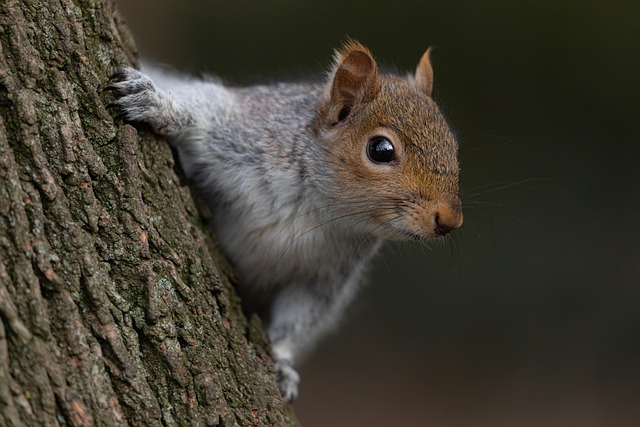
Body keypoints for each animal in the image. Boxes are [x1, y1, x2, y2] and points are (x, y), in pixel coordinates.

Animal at [107, 40, 463, 402]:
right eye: (381, 149)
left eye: (453, 146)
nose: (450, 220)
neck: (318, 207)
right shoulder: (246, 128)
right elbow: (204, 108)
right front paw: (158, 103)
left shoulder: (325, 277)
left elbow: (299, 319)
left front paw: (281, 362)